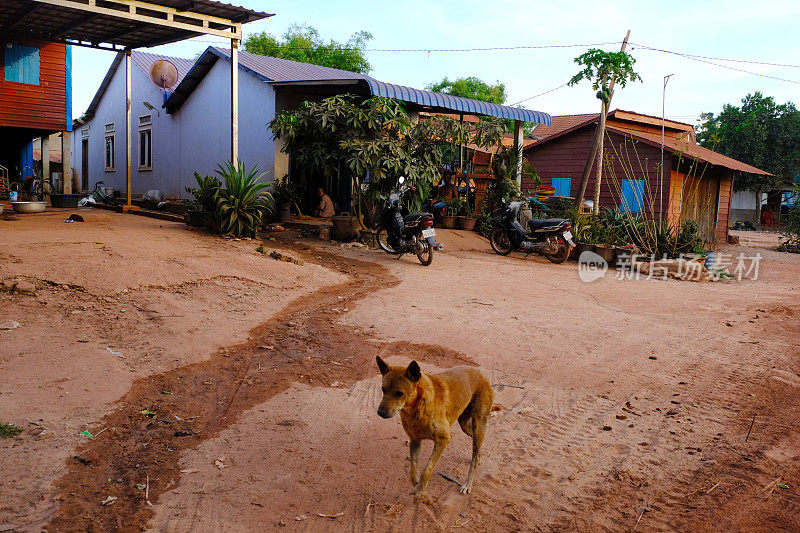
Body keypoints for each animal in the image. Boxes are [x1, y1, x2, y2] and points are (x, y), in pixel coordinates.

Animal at [376, 356, 494, 500]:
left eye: (399, 393)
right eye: (383, 389)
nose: (380, 413)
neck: (415, 408)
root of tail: (481, 374)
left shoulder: (444, 439)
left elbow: (428, 469)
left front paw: (420, 491)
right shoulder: (415, 440)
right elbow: (413, 470)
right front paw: (418, 485)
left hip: (478, 424)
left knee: (474, 459)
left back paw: (467, 484)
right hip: (465, 424)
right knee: (476, 448)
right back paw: (479, 456)